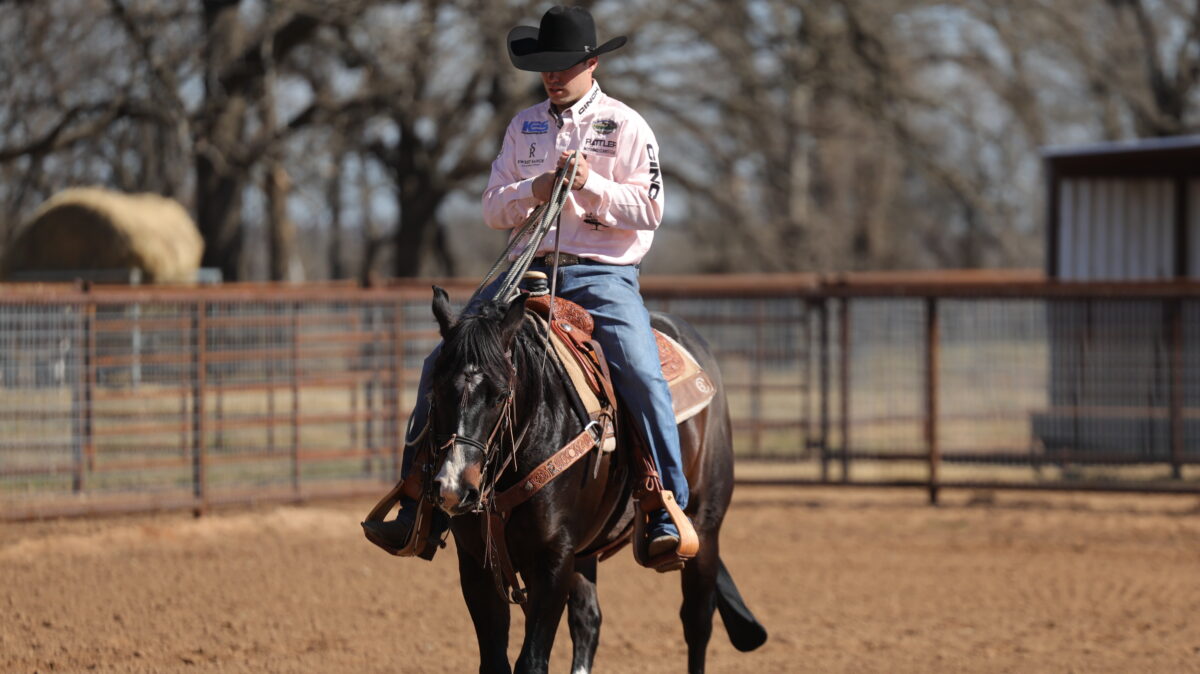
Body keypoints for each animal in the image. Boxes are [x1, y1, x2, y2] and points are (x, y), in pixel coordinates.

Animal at [425, 286, 766, 674]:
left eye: (500, 395)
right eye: (436, 387)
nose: (454, 487)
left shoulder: (553, 559)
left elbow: (532, 661)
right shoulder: (477, 563)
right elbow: (496, 661)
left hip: (705, 527)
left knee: (697, 621)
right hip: (584, 551)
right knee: (588, 620)